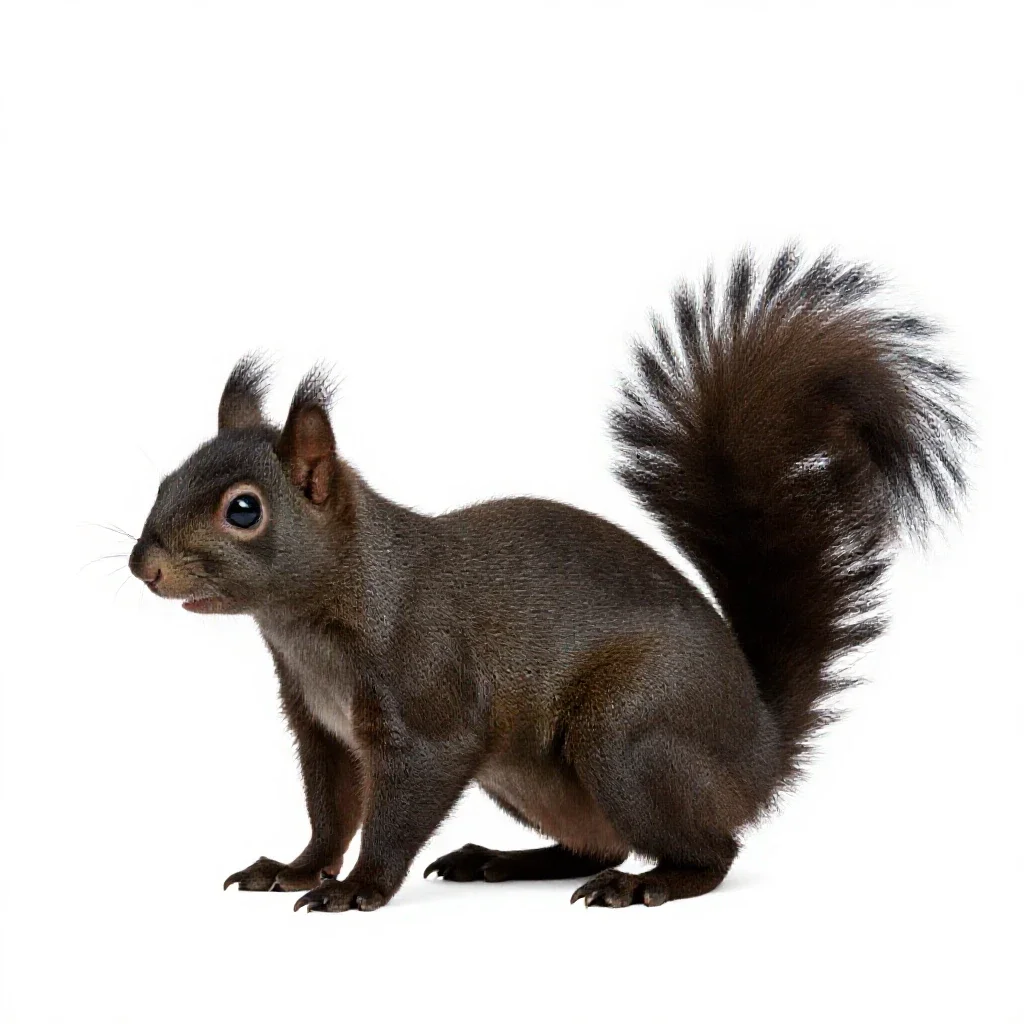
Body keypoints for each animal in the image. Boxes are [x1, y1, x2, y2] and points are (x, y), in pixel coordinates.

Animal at [129, 249, 969, 911]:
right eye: (168, 476)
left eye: (244, 510)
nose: (146, 567)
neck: (317, 617)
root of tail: (757, 753)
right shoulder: (321, 728)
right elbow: (331, 811)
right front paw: (297, 868)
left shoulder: (428, 704)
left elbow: (397, 806)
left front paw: (359, 887)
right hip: (528, 778)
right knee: (597, 842)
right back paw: (501, 861)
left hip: (629, 735)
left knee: (711, 849)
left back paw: (648, 884)